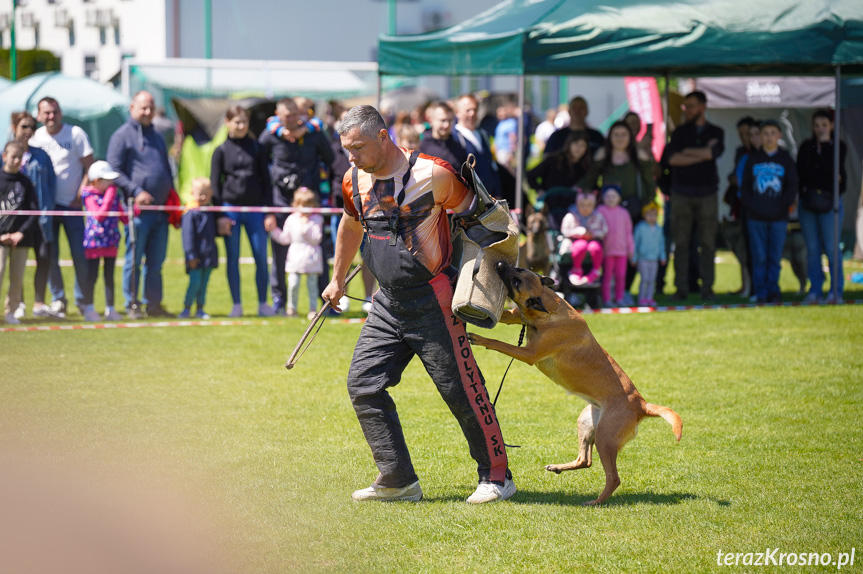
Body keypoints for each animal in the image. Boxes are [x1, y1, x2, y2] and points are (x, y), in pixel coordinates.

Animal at [470, 264, 684, 506]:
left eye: (517, 282)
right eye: (519, 268)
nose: (499, 265)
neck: (550, 309)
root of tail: (642, 404)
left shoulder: (529, 354)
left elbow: (499, 343)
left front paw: (478, 338)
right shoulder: (515, 316)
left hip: (605, 439)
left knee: (613, 478)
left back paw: (595, 502)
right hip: (587, 422)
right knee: (585, 460)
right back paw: (558, 467)